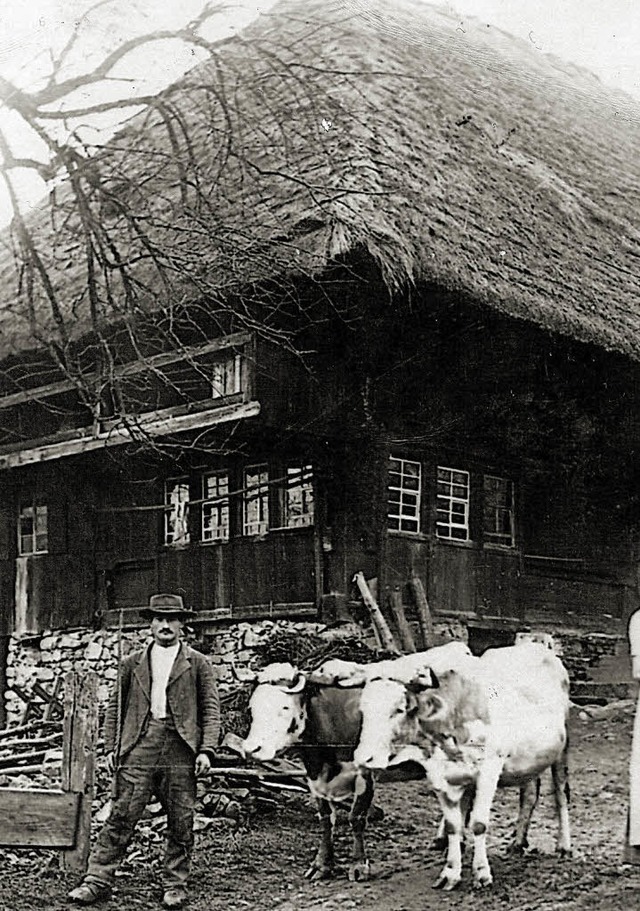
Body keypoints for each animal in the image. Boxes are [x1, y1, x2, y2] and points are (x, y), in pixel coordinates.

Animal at [356, 640, 568, 892]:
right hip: (527, 760)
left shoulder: (488, 771)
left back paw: (564, 845)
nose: (363, 758)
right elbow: (452, 826)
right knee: (528, 795)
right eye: (363, 710)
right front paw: (450, 873)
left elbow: (478, 824)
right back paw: (517, 842)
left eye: (399, 709)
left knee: (561, 793)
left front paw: (482, 873)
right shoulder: (438, 777)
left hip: (562, 748)